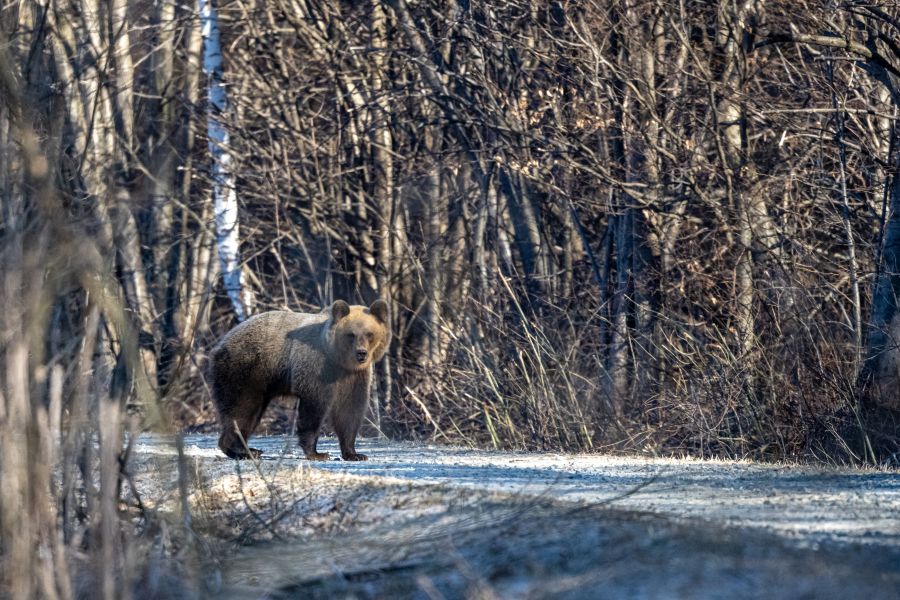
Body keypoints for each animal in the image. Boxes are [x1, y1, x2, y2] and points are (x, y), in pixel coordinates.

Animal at [211, 300, 394, 460]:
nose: (361, 353)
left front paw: (354, 454)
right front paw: (317, 453)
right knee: (242, 408)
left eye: (369, 334)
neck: (339, 361)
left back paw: (247, 450)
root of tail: (220, 343)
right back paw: (244, 451)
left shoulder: (354, 377)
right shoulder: (317, 367)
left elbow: (350, 410)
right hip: (246, 369)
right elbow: (314, 408)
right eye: (351, 335)